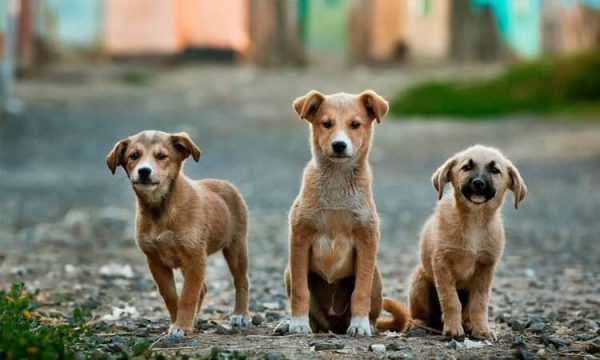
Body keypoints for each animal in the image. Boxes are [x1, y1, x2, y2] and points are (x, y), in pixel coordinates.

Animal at [106, 131, 250, 336]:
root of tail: (226, 183)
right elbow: (171, 296)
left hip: (236, 247)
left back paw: (240, 315)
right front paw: (178, 322)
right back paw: (195, 319)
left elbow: (188, 295)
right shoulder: (155, 261)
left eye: (161, 156)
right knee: (203, 288)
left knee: (241, 280)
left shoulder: (194, 257)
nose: (144, 171)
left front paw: (181, 326)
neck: (160, 208)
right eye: (134, 156)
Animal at [280, 90, 410, 338]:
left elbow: (360, 292)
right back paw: (292, 324)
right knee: (314, 316)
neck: (337, 182)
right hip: (289, 272)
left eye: (355, 124)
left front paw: (359, 325)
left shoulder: (367, 239)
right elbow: (301, 291)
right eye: (326, 123)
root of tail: (334, 325)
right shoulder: (299, 238)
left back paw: (367, 324)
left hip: (376, 276)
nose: (339, 145)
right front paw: (298, 323)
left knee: (371, 307)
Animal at [408, 144, 524, 340]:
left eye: (495, 170)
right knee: (420, 316)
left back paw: (468, 325)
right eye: (466, 167)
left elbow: (480, 302)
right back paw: (422, 325)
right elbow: (450, 300)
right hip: (420, 279)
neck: (474, 222)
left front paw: (482, 330)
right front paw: (453, 329)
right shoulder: (442, 263)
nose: (478, 183)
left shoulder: (485, 267)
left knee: (467, 312)